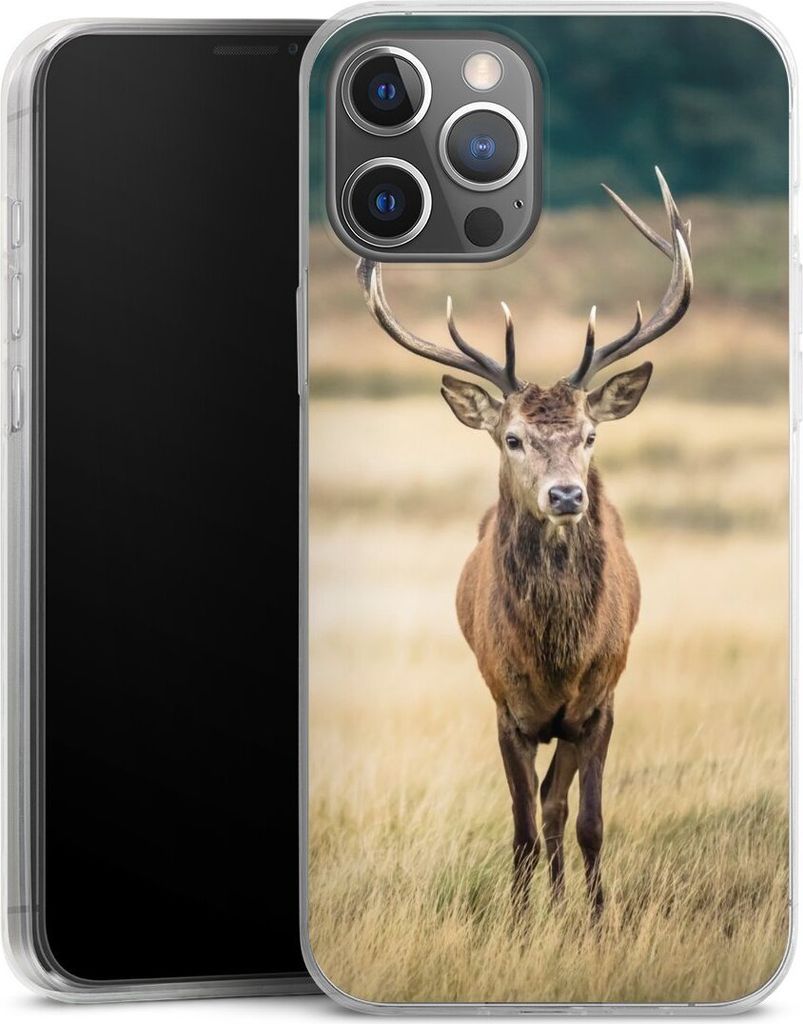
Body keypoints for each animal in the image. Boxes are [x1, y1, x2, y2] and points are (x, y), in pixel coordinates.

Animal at [356, 168, 693, 917]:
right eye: (512, 438)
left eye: (590, 436)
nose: (566, 495)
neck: (555, 659)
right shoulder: (504, 708)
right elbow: (519, 828)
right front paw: (516, 919)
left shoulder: (599, 703)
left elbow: (586, 820)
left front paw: (595, 920)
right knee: (539, 809)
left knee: (557, 806)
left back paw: (565, 902)